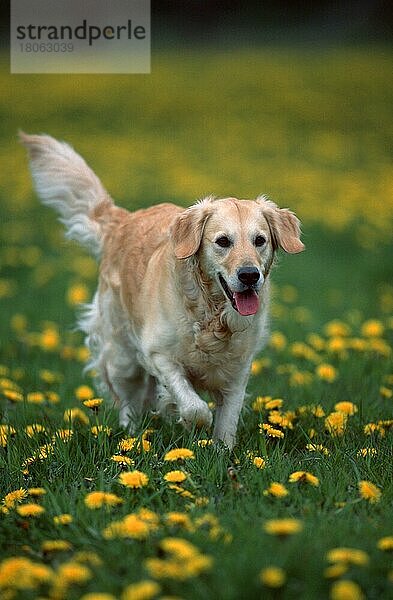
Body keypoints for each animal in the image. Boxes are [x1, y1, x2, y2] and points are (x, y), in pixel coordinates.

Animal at [20, 132, 304, 450]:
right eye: (222, 241)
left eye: (259, 240)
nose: (249, 275)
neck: (211, 317)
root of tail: (123, 220)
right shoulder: (159, 354)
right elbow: (194, 408)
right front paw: (186, 420)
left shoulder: (238, 370)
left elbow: (226, 422)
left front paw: (222, 452)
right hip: (122, 357)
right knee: (128, 403)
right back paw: (131, 437)